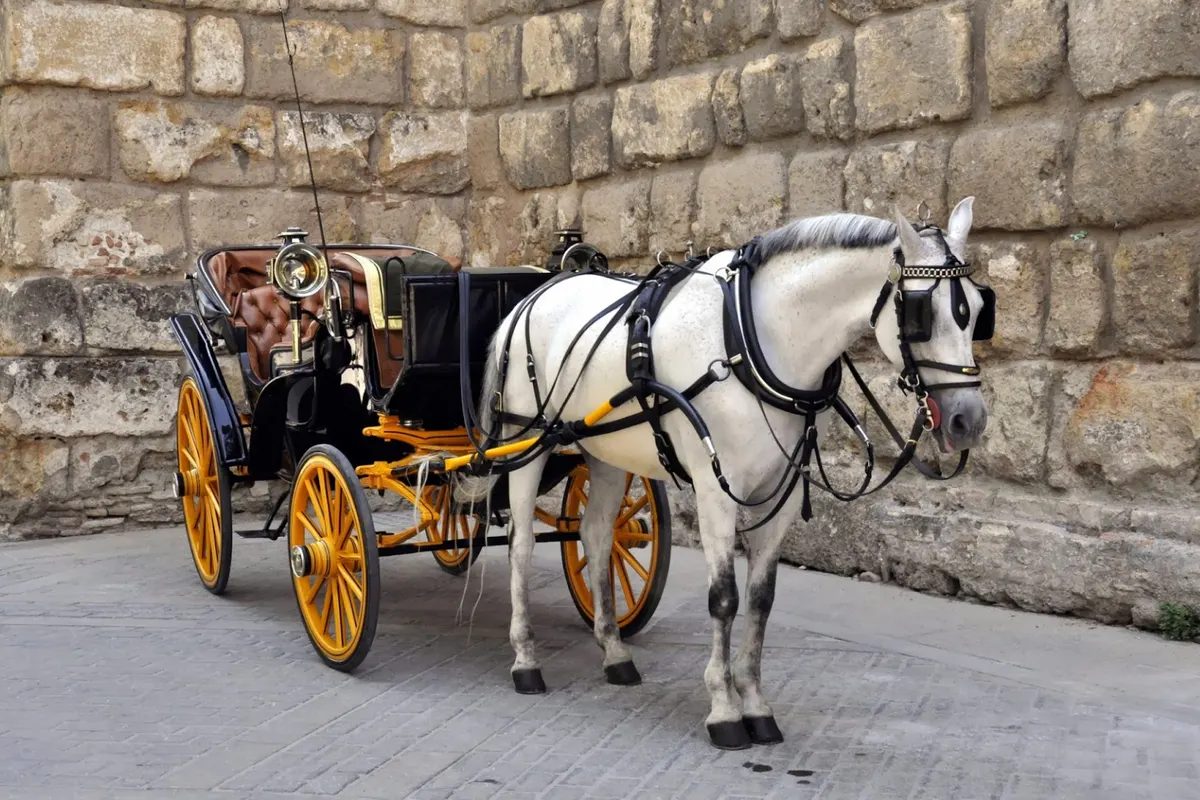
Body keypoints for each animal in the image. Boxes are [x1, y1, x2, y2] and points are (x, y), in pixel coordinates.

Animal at [478, 198, 989, 750]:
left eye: (979, 310)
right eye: (922, 315)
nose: (968, 420)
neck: (750, 339)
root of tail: (537, 293)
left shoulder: (780, 494)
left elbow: (761, 600)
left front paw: (755, 703)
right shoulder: (715, 491)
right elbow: (723, 599)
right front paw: (723, 708)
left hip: (606, 449)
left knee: (595, 536)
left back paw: (614, 652)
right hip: (525, 439)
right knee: (522, 545)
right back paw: (526, 659)